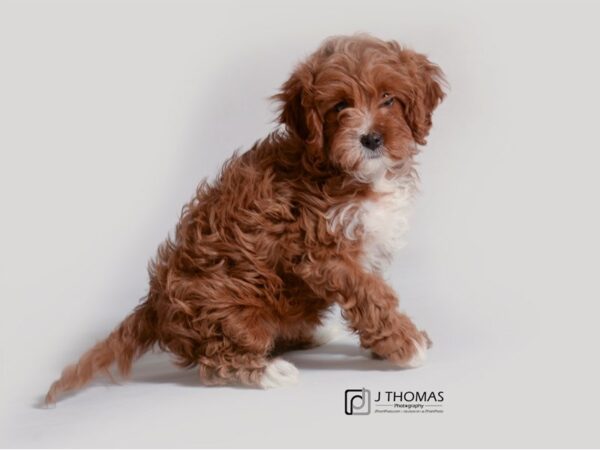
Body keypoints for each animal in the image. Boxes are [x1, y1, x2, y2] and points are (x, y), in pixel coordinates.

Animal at [45, 33, 446, 402]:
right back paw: (268, 370)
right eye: (340, 105)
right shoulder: (321, 254)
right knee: (217, 360)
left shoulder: (366, 247)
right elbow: (370, 296)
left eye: (389, 99)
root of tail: (155, 304)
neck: (354, 174)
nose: (370, 139)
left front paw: (386, 346)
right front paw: (407, 345)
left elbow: (373, 292)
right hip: (223, 311)